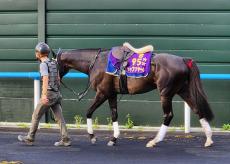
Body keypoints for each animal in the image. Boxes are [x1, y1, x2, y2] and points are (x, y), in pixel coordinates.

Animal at [54, 43, 214, 148]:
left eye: (54, 63)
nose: (55, 80)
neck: (96, 62)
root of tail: (183, 60)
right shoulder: (112, 94)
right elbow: (114, 115)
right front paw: (113, 139)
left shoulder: (102, 93)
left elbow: (88, 112)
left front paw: (92, 137)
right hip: (183, 91)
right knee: (197, 109)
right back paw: (208, 139)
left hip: (165, 93)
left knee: (168, 115)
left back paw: (154, 141)